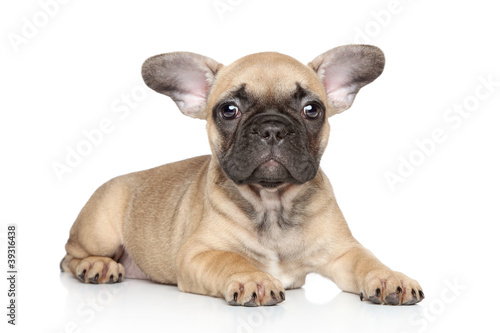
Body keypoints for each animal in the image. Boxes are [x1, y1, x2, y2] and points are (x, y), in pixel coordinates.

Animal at [60, 45, 424, 304]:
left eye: (312, 110)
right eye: (229, 110)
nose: (272, 128)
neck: (272, 202)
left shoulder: (342, 252)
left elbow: (368, 260)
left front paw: (389, 277)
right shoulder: (198, 254)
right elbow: (231, 261)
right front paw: (254, 278)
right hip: (100, 228)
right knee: (69, 256)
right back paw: (97, 266)